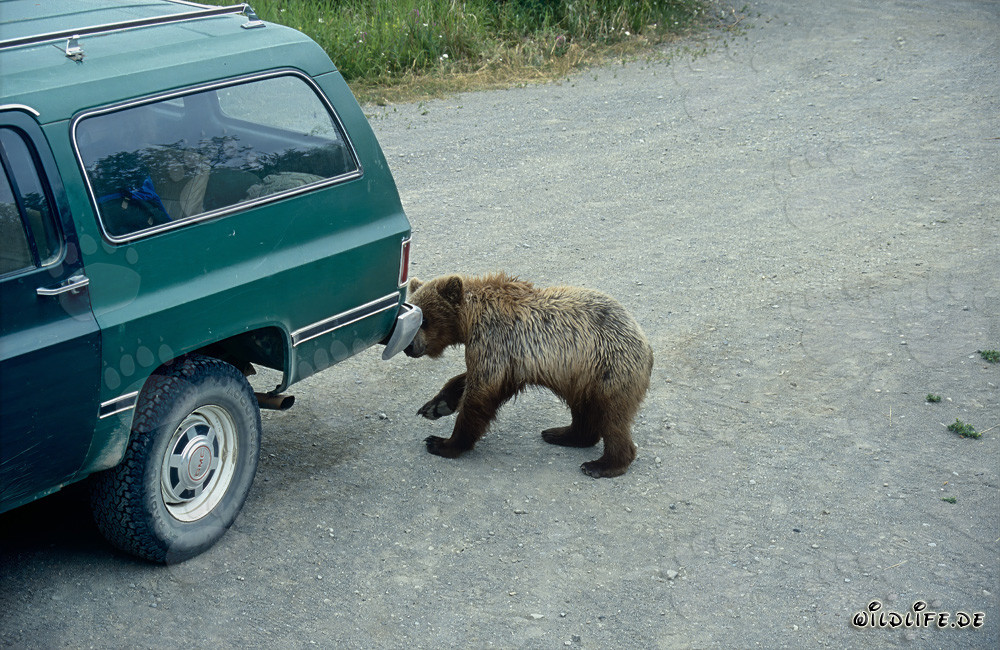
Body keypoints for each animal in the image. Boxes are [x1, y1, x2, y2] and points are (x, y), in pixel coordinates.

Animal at [403, 273, 653, 478]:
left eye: (423, 320)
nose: (409, 347)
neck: (469, 319)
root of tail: (645, 344)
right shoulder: (506, 358)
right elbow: (468, 380)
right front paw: (436, 405)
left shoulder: (493, 341)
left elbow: (480, 394)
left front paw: (441, 442)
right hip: (580, 376)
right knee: (584, 409)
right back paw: (562, 434)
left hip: (609, 368)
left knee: (612, 417)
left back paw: (601, 464)